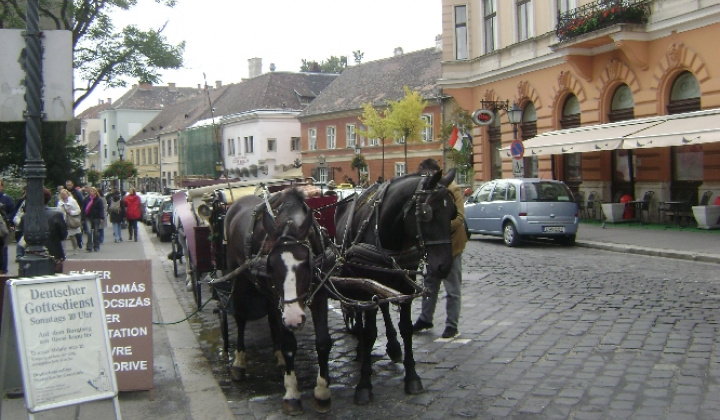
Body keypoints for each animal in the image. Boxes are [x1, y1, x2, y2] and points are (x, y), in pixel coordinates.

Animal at [225, 189, 332, 416]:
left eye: (307, 264)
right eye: (271, 266)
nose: (294, 319)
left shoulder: (320, 292)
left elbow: (323, 342)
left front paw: (322, 392)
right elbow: (289, 345)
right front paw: (292, 394)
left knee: (273, 317)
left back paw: (279, 358)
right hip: (238, 278)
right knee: (241, 318)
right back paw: (239, 363)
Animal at [334, 169, 456, 406]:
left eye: (452, 214)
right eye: (427, 213)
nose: (444, 266)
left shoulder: (405, 286)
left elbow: (406, 328)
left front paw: (412, 376)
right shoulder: (367, 286)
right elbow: (370, 332)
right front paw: (364, 384)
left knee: (382, 307)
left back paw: (392, 347)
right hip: (356, 282)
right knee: (360, 314)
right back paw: (362, 348)